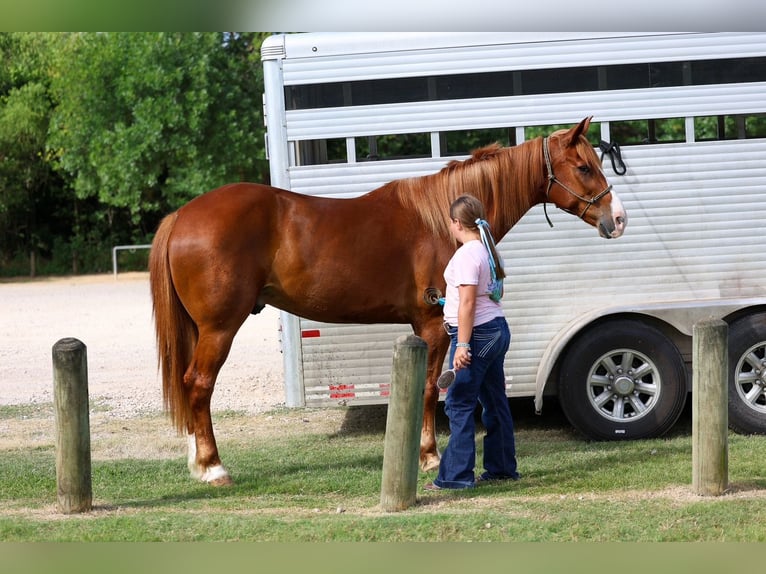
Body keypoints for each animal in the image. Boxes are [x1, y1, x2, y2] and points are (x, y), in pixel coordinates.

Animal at [149, 117, 627, 485]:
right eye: (583, 167)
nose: (618, 219)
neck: (439, 222)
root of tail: (182, 216)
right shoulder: (434, 324)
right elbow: (432, 389)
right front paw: (430, 456)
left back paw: (197, 461)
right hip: (219, 328)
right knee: (199, 384)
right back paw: (213, 468)